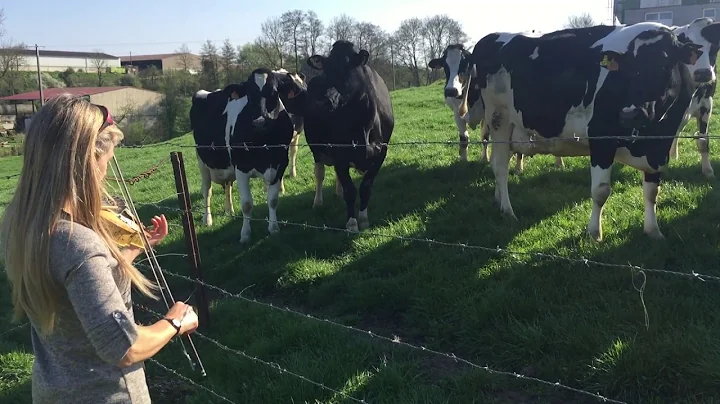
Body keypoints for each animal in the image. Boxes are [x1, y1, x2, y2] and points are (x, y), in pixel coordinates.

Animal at [190, 68, 306, 241]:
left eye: (274, 92)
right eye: (249, 95)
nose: (259, 122)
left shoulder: (279, 165)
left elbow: (273, 200)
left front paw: (273, 228)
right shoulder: (241, 168)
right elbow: (246, 204)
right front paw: (245, 234)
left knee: (227, 186)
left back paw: (229, 211)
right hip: (202, 161)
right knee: (207, 191)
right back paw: (207, 219)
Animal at [302, 40, 396, 234]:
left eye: (347, 67)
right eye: (326, 69)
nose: (323, 99)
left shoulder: (381, 152)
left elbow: (365, 187)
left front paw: (364, 220)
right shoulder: (339, 154)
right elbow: (350, 190)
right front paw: (352, 224)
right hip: (316, 148)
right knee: (319, 174)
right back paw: (318, 202)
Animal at [428, 41, 564, 172]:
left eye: (465, 65)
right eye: (445, 66)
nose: (451, 91)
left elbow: (489, 137)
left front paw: (518, 167)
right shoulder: (458, 114)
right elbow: (464, 139)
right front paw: (464, 161)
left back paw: (559, 162)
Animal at [466, 22, 704, 240]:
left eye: (663, 65)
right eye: (626, 70)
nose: (629, 114)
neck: (649, 135)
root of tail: (491, 37)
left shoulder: (660, 147)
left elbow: (652, 192)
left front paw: (653, 231)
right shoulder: (602, 139)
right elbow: (601, 191)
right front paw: (594, 233)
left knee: (498, 164)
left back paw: (498, 200)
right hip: (499, 119)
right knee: (500, 167)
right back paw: (508, 210)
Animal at [668, 17, 720, 178]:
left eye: (715, 47)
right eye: (688, 49)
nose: (703, 73)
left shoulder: (706, 105)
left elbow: (703, 141)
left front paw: (708, 171)